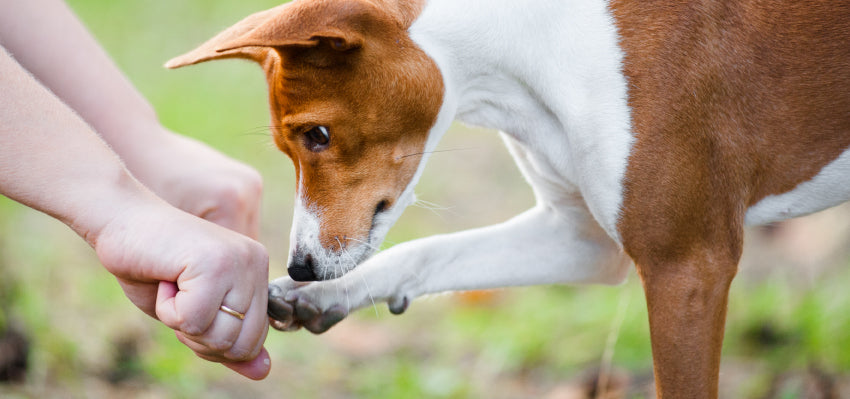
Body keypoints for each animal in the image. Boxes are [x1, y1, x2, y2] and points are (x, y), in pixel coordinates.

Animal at [166, 0, 848, 396]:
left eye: (317, 134)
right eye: (294, 146)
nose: (302, 265)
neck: (542, 47)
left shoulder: (688, 265)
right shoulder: (583, 241)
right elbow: (429, 253)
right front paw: (327, 295)